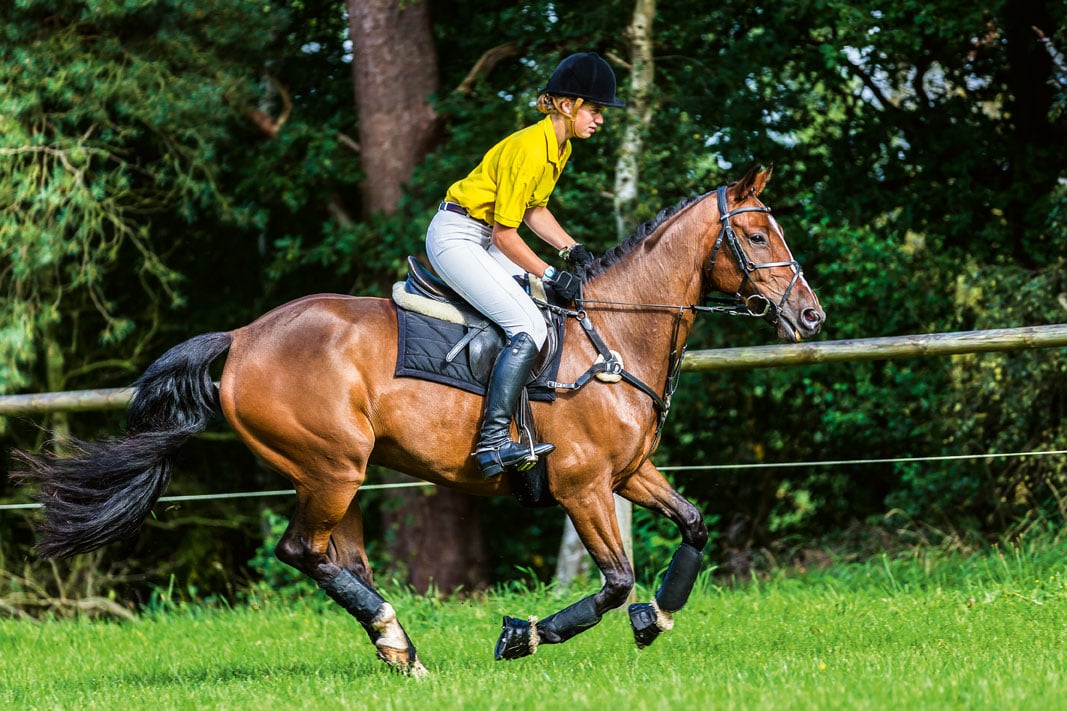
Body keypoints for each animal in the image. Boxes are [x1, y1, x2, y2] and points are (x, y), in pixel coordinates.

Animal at [12, 163, 819, 674]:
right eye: (756, 238)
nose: (809, 315)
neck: (614, 333)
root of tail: (241, 337)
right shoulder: (584, 485)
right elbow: (616, 579)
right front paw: (523, 635)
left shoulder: (630, 472)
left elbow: (692, 524)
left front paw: (661, 615)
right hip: (331, 466)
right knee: (303, 552)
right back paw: (397, 641)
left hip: (338, 474)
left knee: (336, 558)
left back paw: (396, 644)